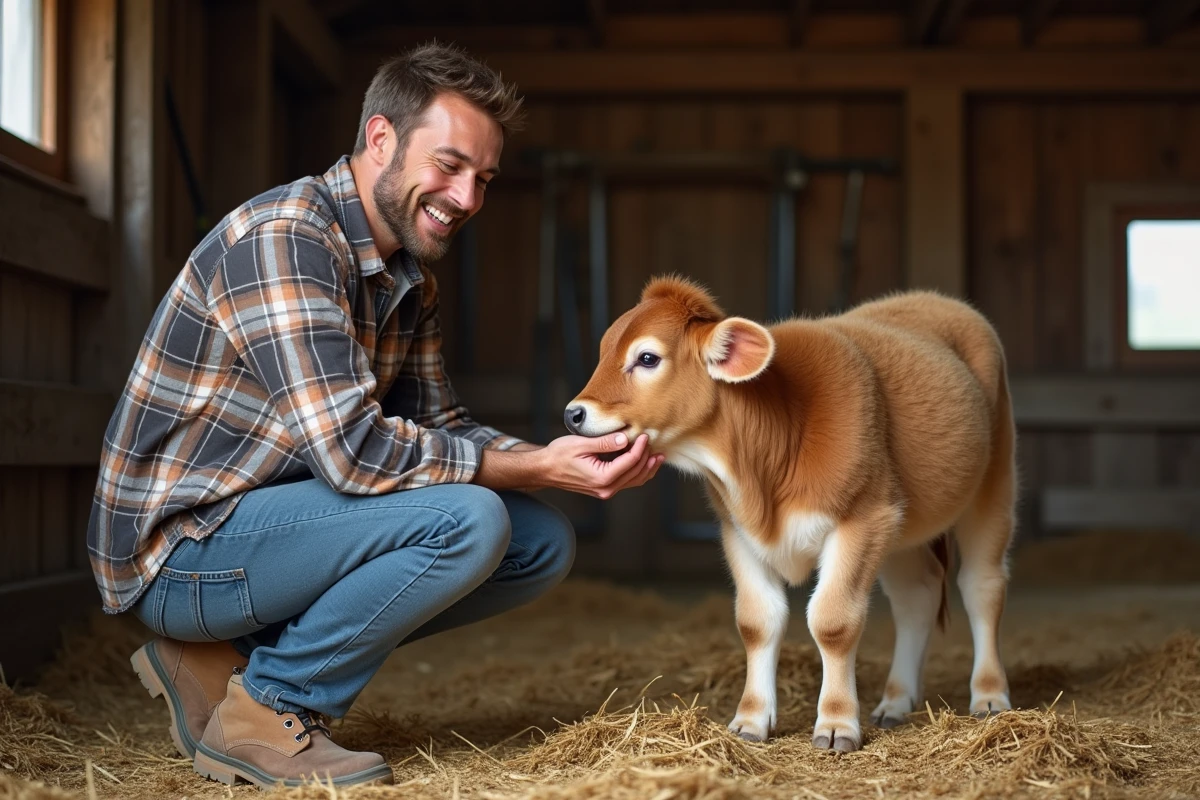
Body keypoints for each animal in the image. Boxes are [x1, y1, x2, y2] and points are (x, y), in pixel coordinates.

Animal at [564, 276, 1016, 752]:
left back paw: (989, 696)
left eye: (647, 358)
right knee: (918, 595)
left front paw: (836, 724)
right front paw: (750, 720)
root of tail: (934, 299)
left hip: (993, 483)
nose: (573, 413)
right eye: (604, 350)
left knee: (982, 585)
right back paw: (895, 701)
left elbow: (833, 621)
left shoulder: (863, 520)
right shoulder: (739, 532)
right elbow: (757, 621)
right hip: (903, 526)